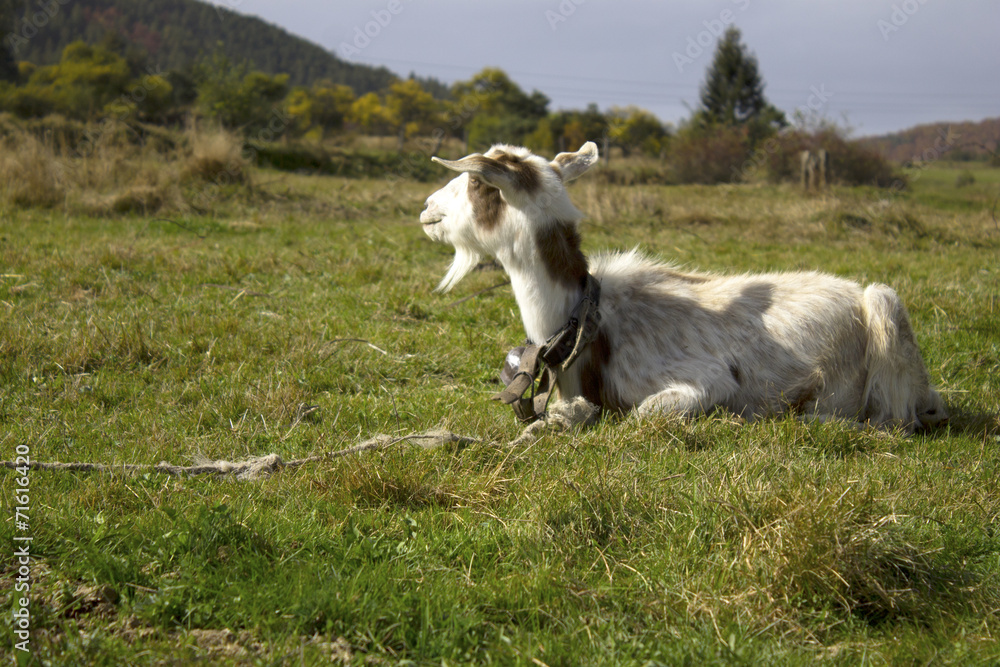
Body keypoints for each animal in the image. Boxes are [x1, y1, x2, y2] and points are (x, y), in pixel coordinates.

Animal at [419, 141, 947, 432]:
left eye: (478, 183)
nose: (426, 208)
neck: (589, 321)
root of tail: (858, 296)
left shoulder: (705, 379)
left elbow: (643, 415)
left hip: (886, 309)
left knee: (893, 418)